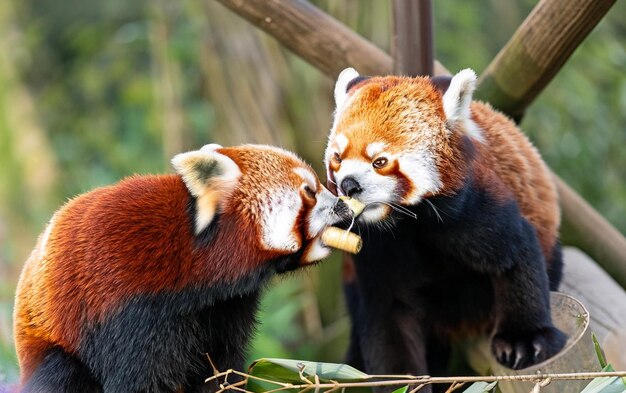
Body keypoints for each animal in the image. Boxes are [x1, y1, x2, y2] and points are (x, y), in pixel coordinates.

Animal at [13, 144, 352, 392]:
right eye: (309, 191)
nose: (344, 204)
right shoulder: (127, 307)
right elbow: (138, 379)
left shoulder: (225, 306)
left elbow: (221, 365)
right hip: (53, 346)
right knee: (62, 376)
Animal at [324, 69, 564, 382]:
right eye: (337, 158)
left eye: (380, 161)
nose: (348, 185)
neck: (404, 224)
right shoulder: (375, 251)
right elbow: (389, 322)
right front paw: (401, 380)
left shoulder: (469, 209)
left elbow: (514, 256)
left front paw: (524, 339)